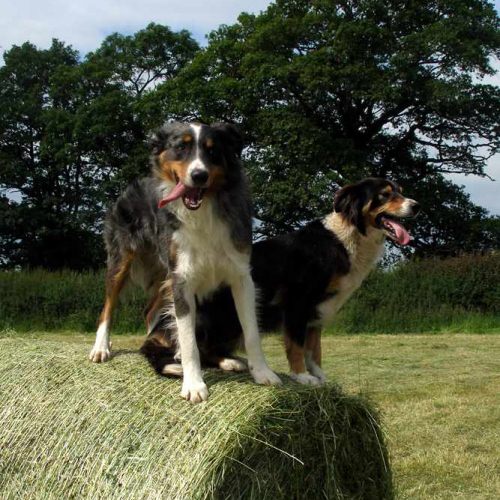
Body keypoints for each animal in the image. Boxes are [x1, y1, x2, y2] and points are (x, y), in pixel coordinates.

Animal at [90, 121, 282, 402]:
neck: (203, 211)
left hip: (165, 274)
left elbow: (252, 331)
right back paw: (101, 347)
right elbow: (189, 339)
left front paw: (263, 372)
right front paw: (194, 384)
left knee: (151, 313)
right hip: (122, 260)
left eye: (212, 151)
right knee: (108, 305)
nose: (199, 175)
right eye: (181, 147)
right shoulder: (182, 279)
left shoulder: (241, 276)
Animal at [143, 178, 420, 384]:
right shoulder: (297, 300)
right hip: (215, 314)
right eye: (384, 195)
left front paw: (321, 378)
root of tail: (158, 328)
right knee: (187, 351)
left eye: (401, 191)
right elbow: (296, 345)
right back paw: (228, 362)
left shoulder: (316, 312)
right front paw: (302, 377)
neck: (344, 237)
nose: (416, 205)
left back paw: (235, 361)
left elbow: (315, 351)